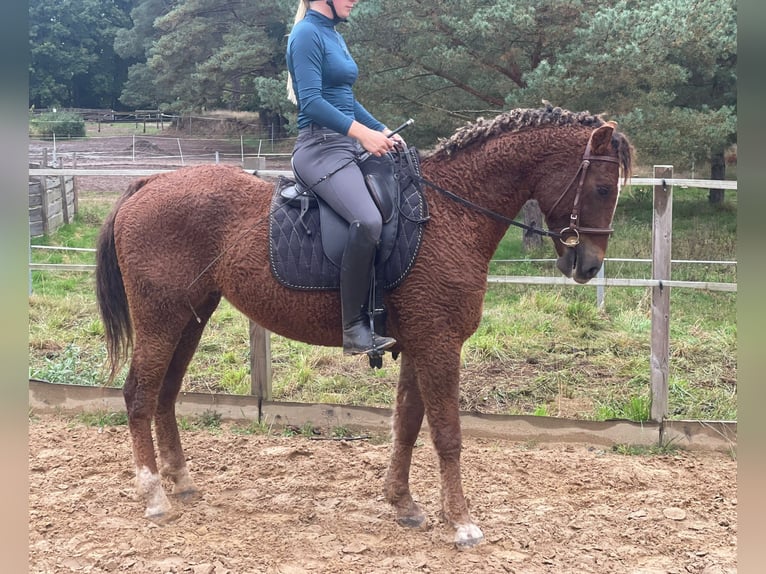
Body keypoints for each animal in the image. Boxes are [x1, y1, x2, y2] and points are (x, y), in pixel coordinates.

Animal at [96, 106, 636, 552]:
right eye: (603, 188)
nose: (588, 266)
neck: (453, 211)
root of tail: (149, 183)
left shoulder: (419, 343)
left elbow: (408, 425)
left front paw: (404, 504)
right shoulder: (439, 343)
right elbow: (447, 433)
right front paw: (461, 523)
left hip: (190, 317)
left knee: (164, 395)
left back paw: (180, 482)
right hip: (161, 318)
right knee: (139, 395)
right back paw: (154, 495)